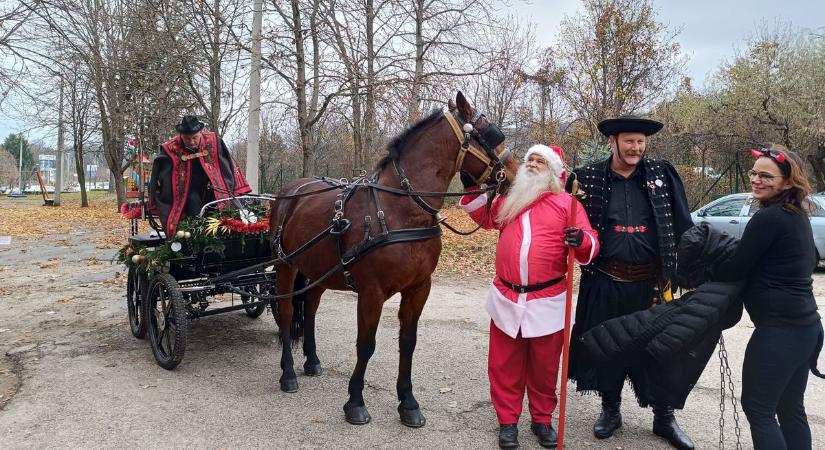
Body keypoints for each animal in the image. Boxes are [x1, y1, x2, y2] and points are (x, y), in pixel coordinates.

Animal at [268, 90, 516, 426]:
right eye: (491, 135)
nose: (515, 173)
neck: (400, 210)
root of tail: (290, 191)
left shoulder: (419, 288)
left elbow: (407, 343)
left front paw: (408, 402)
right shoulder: (371, 293)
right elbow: (366, 345)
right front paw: (355, 402)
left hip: (318, 271)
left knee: (310, 309)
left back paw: (312, 360)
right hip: (285, 265)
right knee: (285, 313)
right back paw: (288, 373)